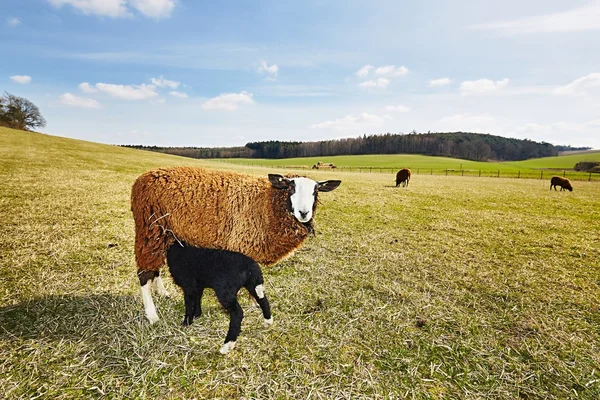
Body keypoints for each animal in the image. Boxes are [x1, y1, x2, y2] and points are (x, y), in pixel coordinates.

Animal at [132, 167, 342, 324]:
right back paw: (152, 315)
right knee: (144, 274)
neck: (266, 204)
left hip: (164, 234)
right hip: (149, 229)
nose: (304, 213)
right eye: (290, 189)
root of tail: (142, 179)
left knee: (155, 267)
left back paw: (163, 292)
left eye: (315, 191)